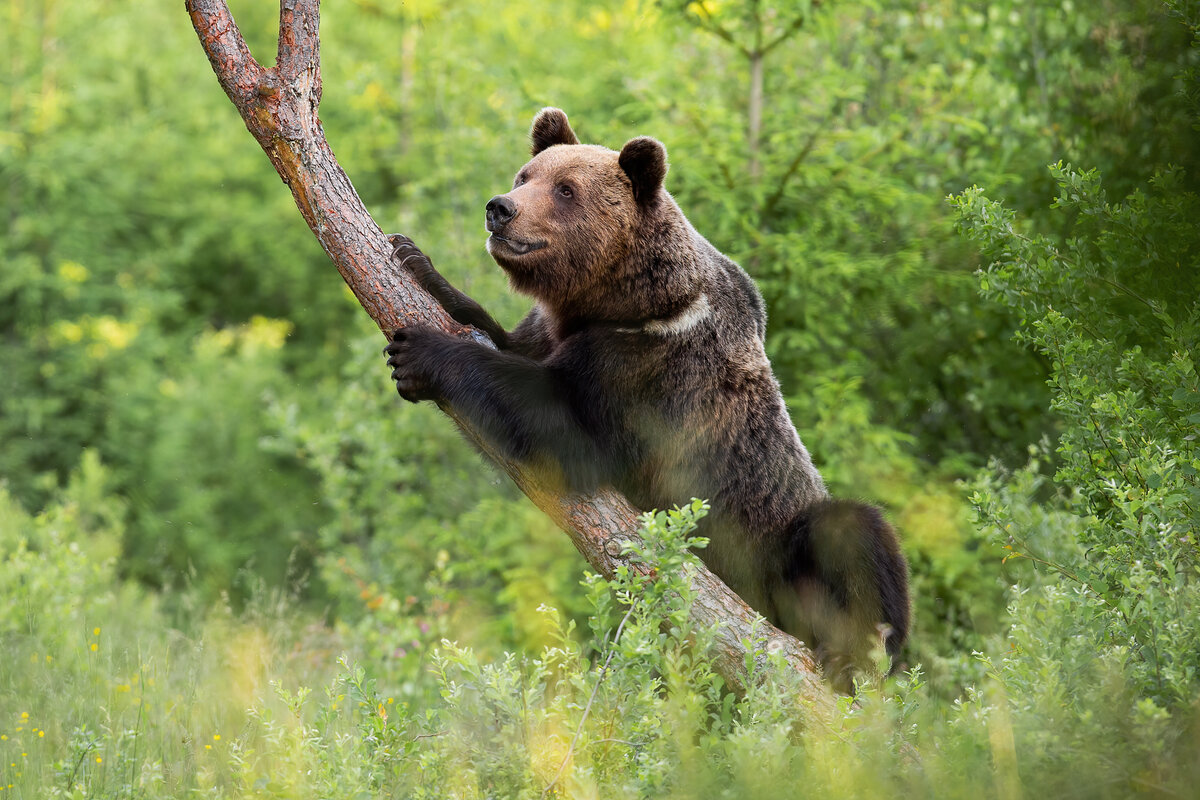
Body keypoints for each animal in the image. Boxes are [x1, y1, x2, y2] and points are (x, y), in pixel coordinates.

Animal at [384, 109, 907, 690]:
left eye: (565, 190)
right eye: (526, 175)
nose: (501, 209)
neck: (623, 302)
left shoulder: (651, 372)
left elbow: (563, 430)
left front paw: (421, 352)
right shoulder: (555, 331)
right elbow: (502, 346)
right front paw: (415, 260)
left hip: (775, 540)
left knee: (854, 534)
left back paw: (852, 655)